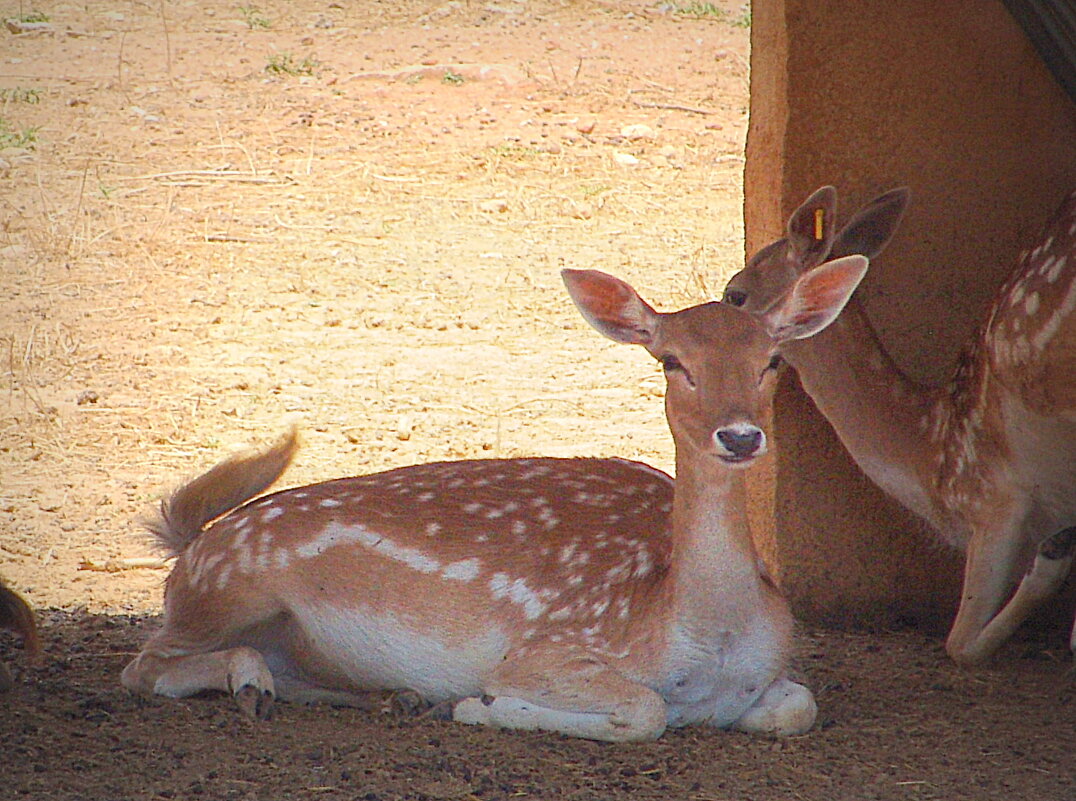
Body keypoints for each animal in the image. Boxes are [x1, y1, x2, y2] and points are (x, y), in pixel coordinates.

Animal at [122, 259, 869, 740]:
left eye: (773, 359)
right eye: (671, 361)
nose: (739, 435)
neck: (700, 636)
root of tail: (194, 541)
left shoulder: (773, 673)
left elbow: (798, 706)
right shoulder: (549, 647)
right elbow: (645, 712)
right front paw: (478, 706)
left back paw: (392, 697)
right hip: (227, 588)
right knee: (142, 666)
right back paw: (252, 683)